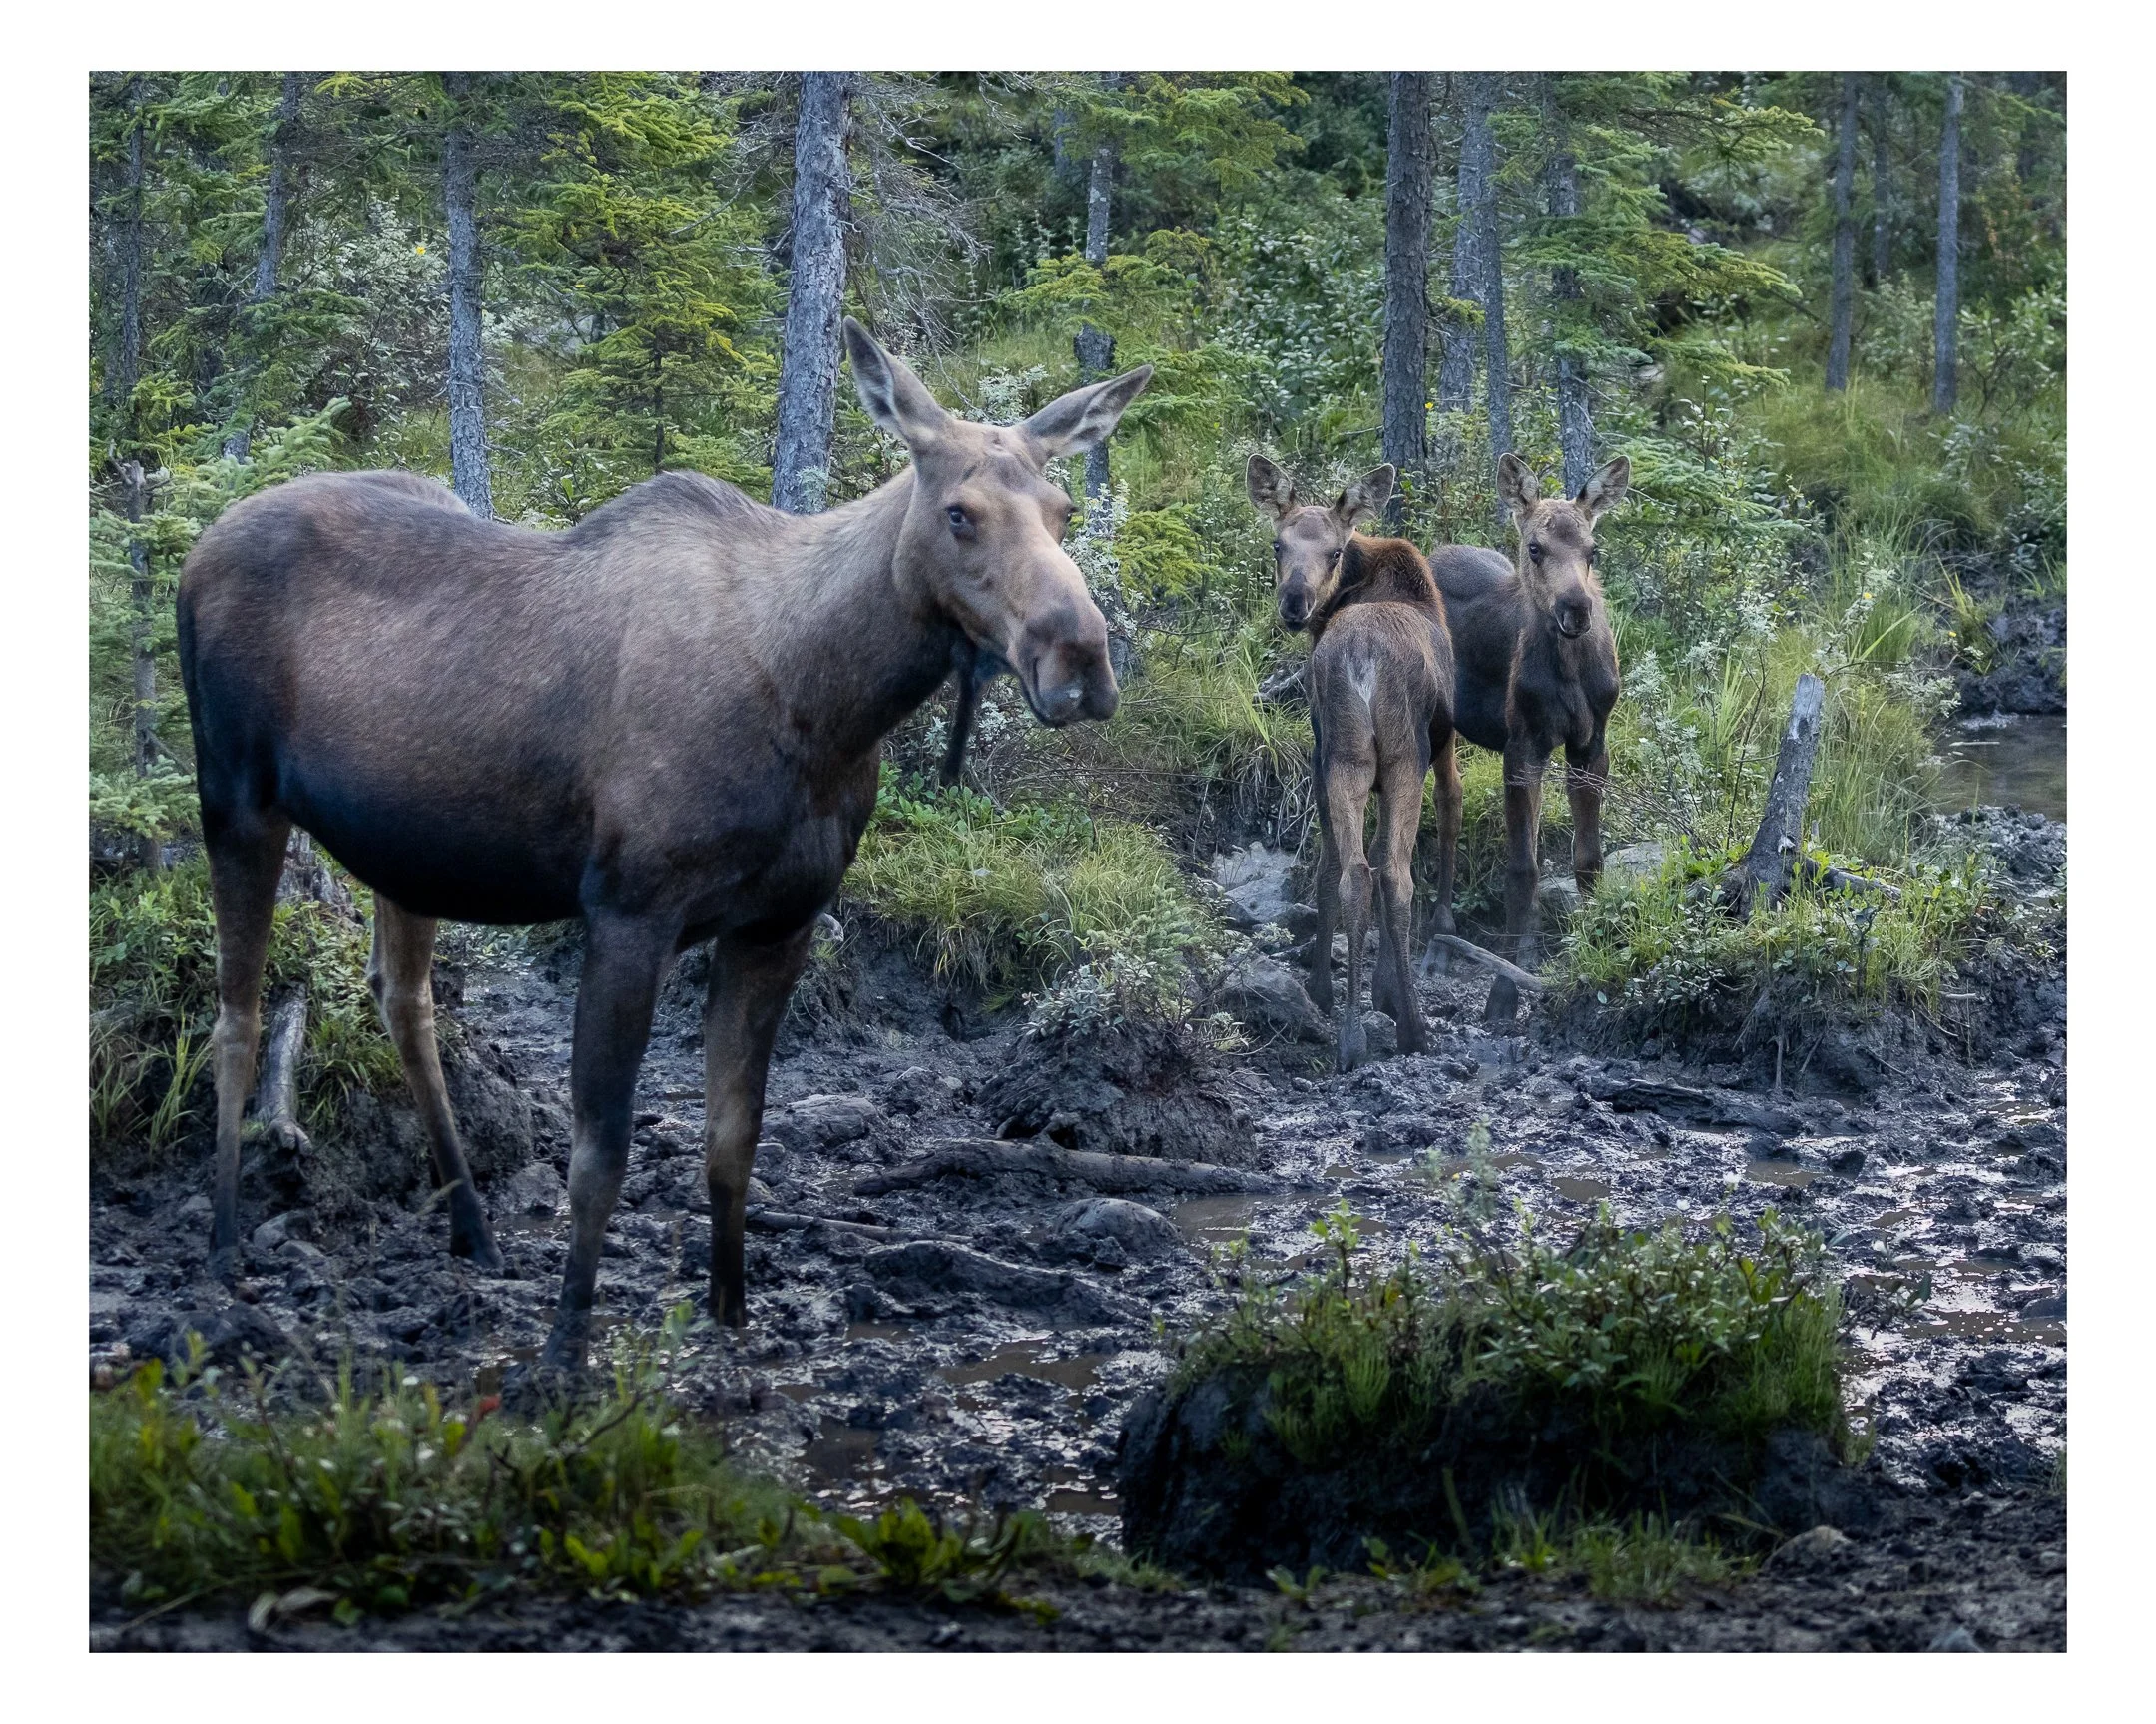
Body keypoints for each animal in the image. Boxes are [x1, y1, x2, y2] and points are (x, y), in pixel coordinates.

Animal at [176, 319, 1149, 1368]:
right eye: (961, 513)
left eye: (1062, 507)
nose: (1081, 658)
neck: (825, 708)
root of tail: (198, 547)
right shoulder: (628, 909)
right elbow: (601, 1151)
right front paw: (566, 1342)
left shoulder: (780, 923)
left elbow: (734, 1136)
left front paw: (731, 1313)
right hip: (234, 795)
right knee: (237, 1011)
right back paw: (223, 1239)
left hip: (409, 845)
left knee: (401, 998)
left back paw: (470, 1223)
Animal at [1247, 456, 1459, 1072]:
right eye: (1277, 544)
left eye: (1334, 552)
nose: (1294, 603)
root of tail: (1365, 663)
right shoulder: (1439, 750)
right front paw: (1381, 992)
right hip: (1397, 756)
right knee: (1390, 876)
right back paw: (1410, 1027)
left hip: (1345, 756)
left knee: (1357, 874)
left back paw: (1351, 1035)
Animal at [1424, 451, 1628, 1023]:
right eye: (1535, 548)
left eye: (1593, 550)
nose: (1575, 609)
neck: (1569, 674)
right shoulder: (1522, 746)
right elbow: (1522, 871)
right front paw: (1504, 993)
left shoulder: (1590, 743)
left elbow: (1588, 860)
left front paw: (1592, 950)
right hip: (1435, 720)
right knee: (1447, 802)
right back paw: (1439, 937)